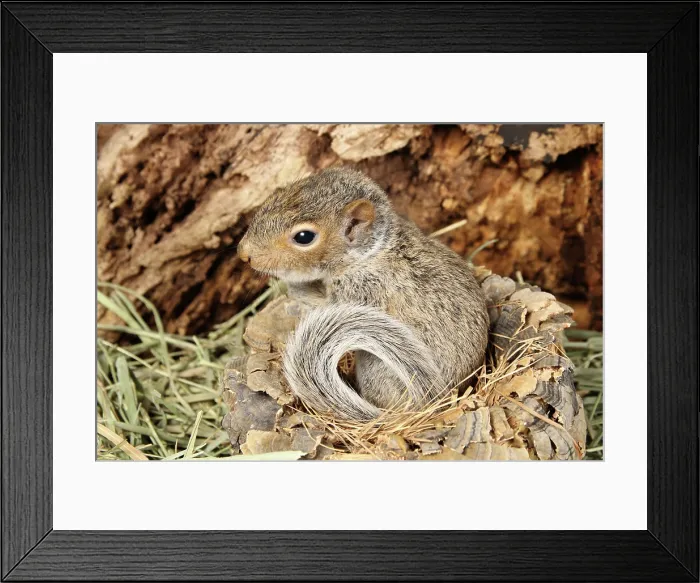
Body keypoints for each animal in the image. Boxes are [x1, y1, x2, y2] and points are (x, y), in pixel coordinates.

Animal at [237, 167, 489, 421]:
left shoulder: (364, 290)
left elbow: (324, 303)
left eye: (304, 237)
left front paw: (294, 287)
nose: (243, 254)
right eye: (277, 194)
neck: (368, 253)